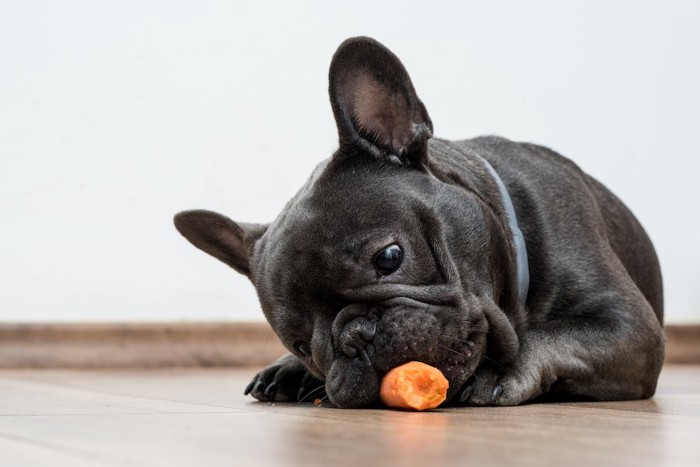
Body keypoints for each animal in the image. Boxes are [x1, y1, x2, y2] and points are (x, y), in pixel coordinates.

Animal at [172, 37, 664, 410]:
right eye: (300, 343)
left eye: (389, 258)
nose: (354, 337)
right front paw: (290, 366)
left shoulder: (629, 327)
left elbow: (547, 336)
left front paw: (498, 370)